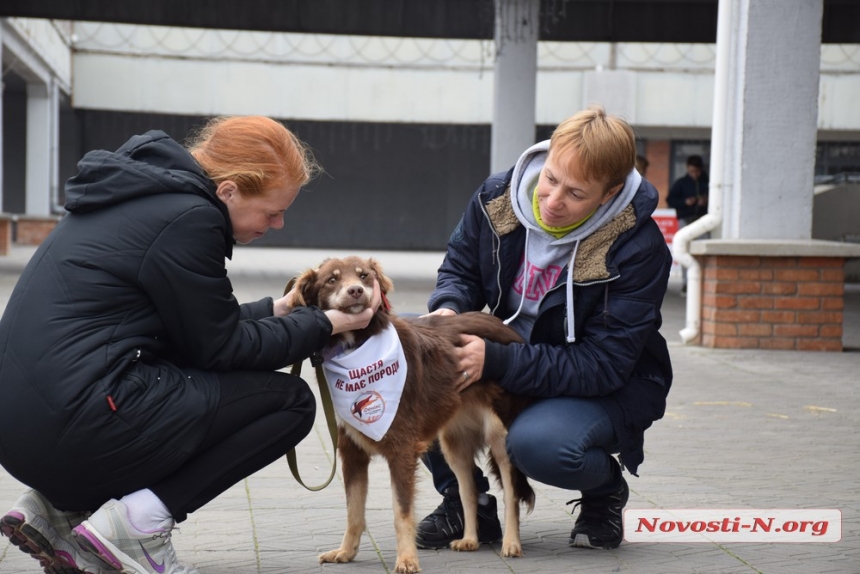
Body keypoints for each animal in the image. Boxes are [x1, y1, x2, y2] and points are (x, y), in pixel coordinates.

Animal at [286, 258, 536, 574]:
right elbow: (353, 511)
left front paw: (406, 559)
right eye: (332, 280)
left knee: (511, 493)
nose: (356, 291)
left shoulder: (401, 450)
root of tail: (510, 331)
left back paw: (511, 544)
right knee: (467, 490)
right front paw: (345, 552)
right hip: (453, 444)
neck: (357, 347)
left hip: (501, 437)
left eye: (364, 276)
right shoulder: (352, 451)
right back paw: (470, 539)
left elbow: (401, 512)